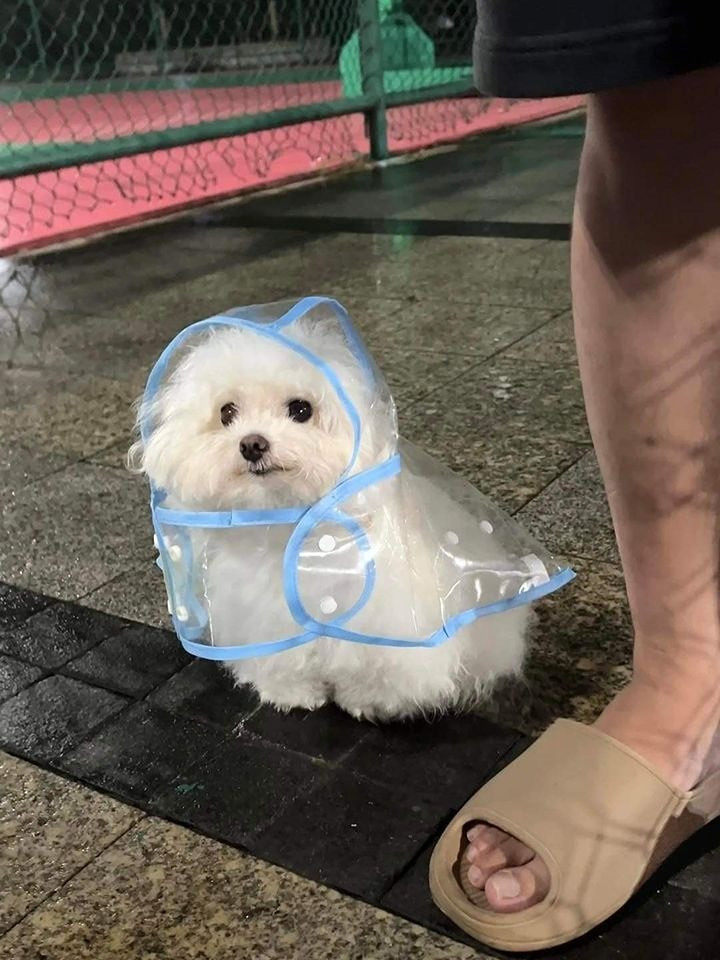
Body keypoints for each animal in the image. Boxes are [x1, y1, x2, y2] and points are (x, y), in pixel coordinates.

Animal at [132, 314, 524, 720]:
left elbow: (376, 671)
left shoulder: (390, 626)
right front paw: (292, 694)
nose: (252, 444)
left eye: (301, 409)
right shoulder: (262, 619)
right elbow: (282, 659)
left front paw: (364, 702)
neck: (289, 532)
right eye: (227, 412)